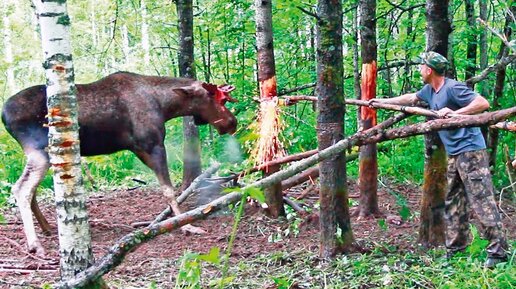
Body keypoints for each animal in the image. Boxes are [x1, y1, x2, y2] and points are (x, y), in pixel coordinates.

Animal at [1, 71, 239, 254]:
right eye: (218, 99)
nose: (232, 122)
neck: (165, 106)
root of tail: (3, 115)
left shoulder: (139, 149)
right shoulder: (153, 145)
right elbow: (169, 190)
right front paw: (187, 226)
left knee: (30, 190)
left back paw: (47, 227)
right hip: (40, 151)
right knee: (21, 188)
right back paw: (35, 243)